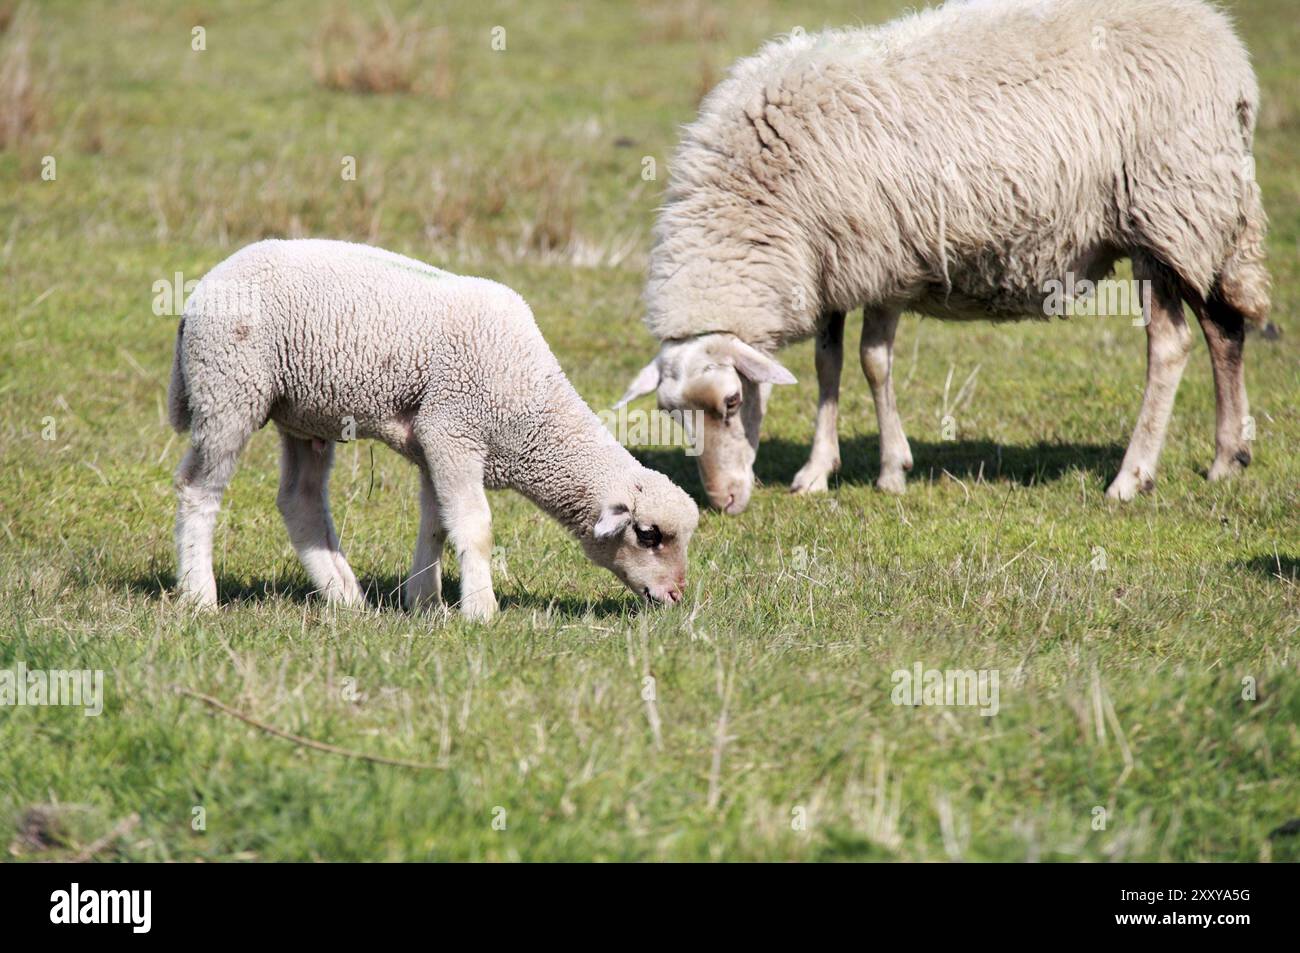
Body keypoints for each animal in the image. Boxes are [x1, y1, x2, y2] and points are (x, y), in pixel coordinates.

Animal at [167, 239, 699, 620]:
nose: (676, 595)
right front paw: (480, 610)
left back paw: (346, 597)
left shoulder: (432, 443)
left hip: (302, 414)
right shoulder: (454, 430)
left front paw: (425, 603)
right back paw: (200, 596)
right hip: (229, 387)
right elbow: (475, 527)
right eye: (648, 535)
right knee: (199, 488)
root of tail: (200, 291)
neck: (532, 410)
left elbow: (437, 524)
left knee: (300, 499)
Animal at [620, 0, 1271, 513]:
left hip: (1164, 212)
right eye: (670, 414)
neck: (755, 202)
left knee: (1171, 346)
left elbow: (872, 361)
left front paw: (891, 470)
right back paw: (1226, 457)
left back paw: (1131, 477)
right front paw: (816, 471)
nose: (722, 501)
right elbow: (828, 364)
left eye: (732, 402)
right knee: (1224, 329)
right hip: (1201, 221)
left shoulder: (878, 258)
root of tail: (1227, 48)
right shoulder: (825, 262)